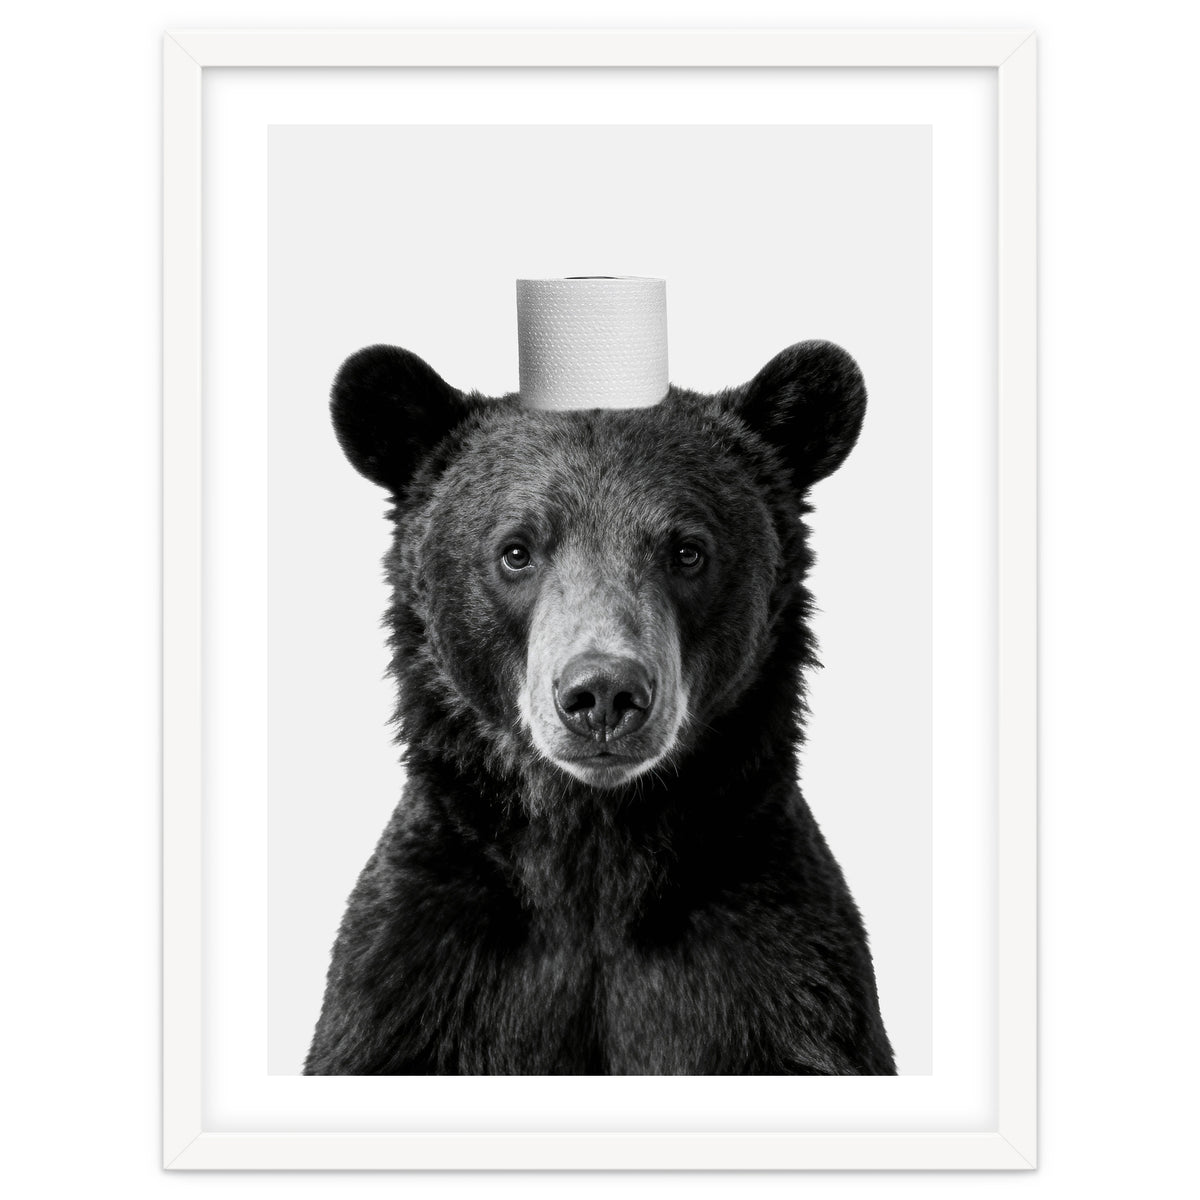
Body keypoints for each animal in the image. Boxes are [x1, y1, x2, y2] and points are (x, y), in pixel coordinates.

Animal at [304, 339, 897, 1076]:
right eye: (516, 551)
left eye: (687, 551)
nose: (604, 694)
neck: (595, 848)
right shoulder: (418, 972)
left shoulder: (779, 971)